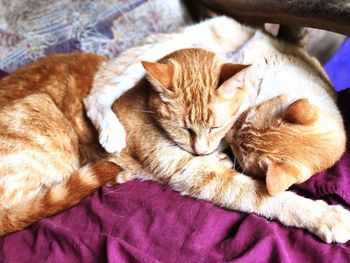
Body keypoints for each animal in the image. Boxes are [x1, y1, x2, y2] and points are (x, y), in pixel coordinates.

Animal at [84, 15, 344, 195]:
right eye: (247, 119)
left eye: (240, 152)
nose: (229, 138)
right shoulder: (243, 61)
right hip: (146, 61)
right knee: (96, 94)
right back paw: (112, 133)